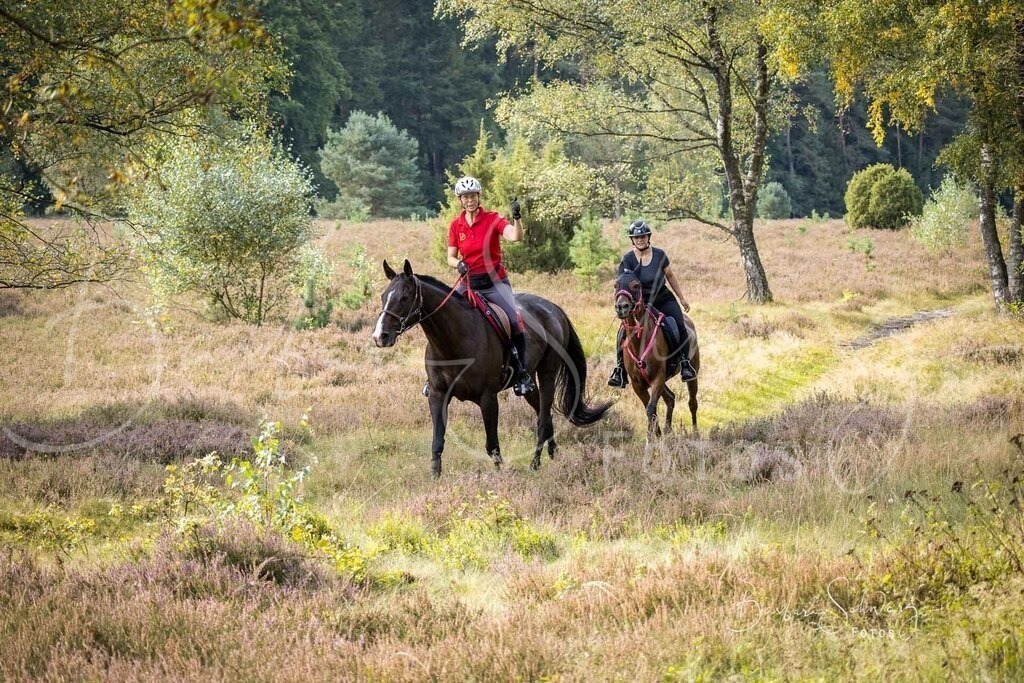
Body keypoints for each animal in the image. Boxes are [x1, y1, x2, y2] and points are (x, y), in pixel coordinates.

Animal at [372, 259, 612, 476]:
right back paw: (554, 455)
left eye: (404, 298)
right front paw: (435, 478)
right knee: (546, 415)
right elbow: (437, 441)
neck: (452, 341)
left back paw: (535, 465)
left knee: (543, 420)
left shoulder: (487, 397)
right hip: (529, 386)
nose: (379, 336)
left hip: (547, 374)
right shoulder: (437, 394)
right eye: (384, 296)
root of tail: (553, 308)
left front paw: (501, 476)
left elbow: (492, 445)